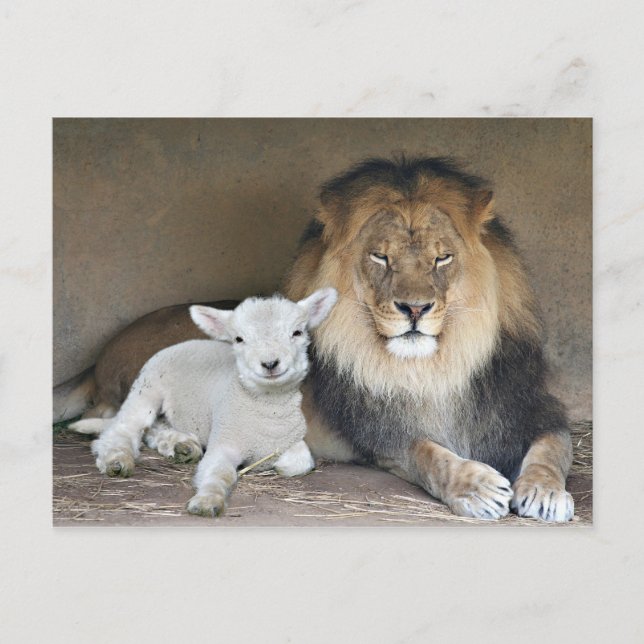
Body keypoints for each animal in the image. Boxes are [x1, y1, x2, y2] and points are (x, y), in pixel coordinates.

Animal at [70, 288, 338, 517]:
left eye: (297, 332)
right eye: (239, 339)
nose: (270, 363)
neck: (265, 411)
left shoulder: (292, 441)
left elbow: (302, 461)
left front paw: (275, 466)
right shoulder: (223, 443)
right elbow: (219, 473)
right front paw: (208, 501)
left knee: (153, 427)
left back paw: (179, 445)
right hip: (146, 388)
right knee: (122, 429)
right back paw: (118, 459)